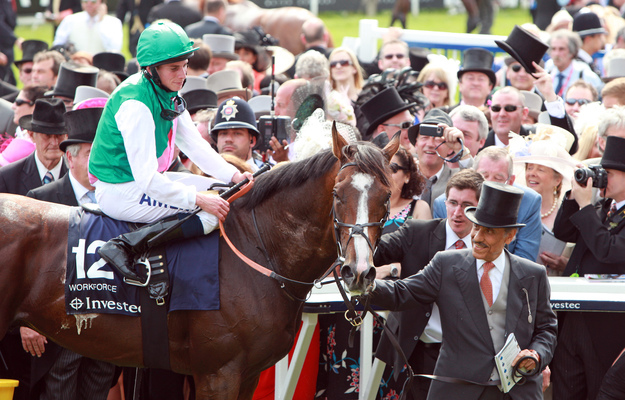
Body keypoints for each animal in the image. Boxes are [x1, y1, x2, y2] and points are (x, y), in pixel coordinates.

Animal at [0, 129, 398, 400]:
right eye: (338, 194)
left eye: (387, 196)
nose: (358, 271)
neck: (257, 247)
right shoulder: (218, 373)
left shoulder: (249, 374)